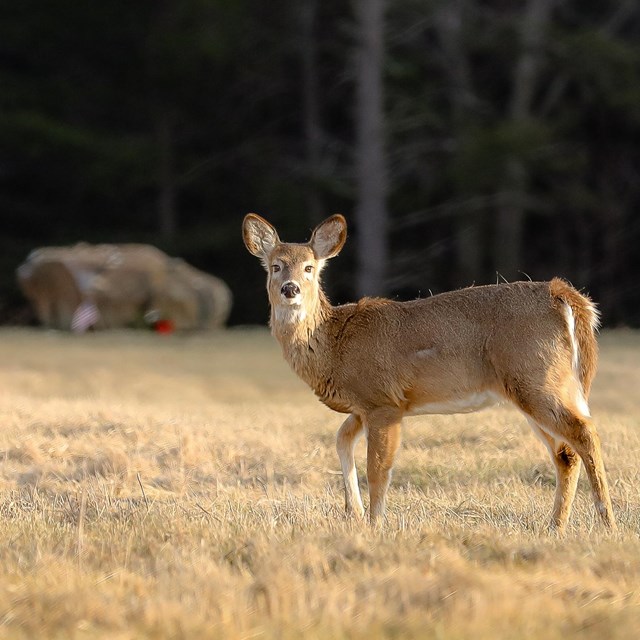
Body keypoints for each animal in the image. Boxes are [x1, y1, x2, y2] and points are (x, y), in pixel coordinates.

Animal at [241, 212, 616, 532]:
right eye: (275, 266)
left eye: (309, 267)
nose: (290, 288)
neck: (334, 343)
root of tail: (565, 296)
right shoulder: (365, 406)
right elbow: (341, 440)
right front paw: (354, 514)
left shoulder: (382, 400)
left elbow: (378, 469)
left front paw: (375, 524)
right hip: (536, 385)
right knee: (565, 452)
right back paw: (555, 526)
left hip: (537, 376)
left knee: (584, 433)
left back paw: (606, 523)